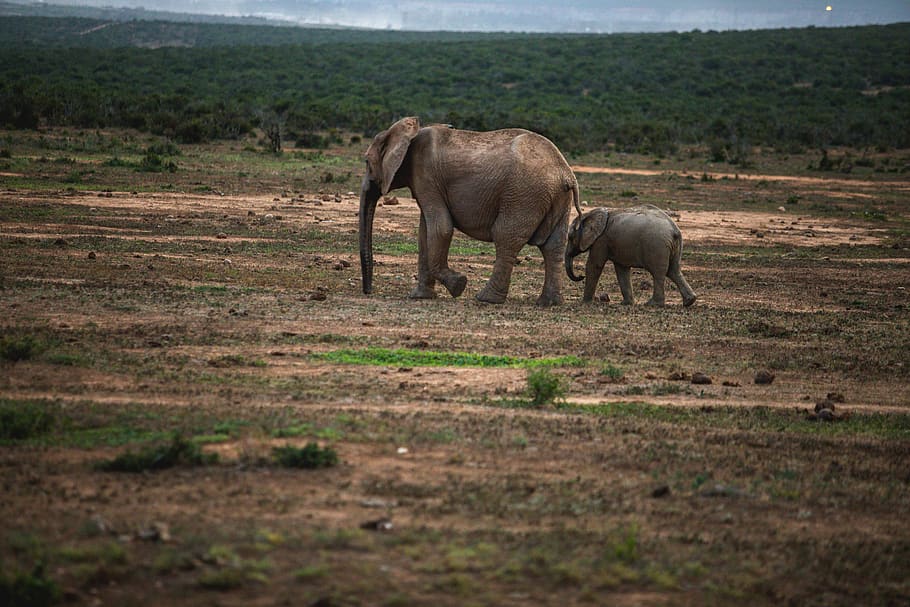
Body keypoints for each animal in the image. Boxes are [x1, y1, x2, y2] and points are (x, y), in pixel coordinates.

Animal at [359, 116, 580, 306]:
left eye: (366, 162)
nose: (368, 292)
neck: (407, 133)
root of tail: (566, 174)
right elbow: (425, 233)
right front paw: (420, 296)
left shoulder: (426, 176)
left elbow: (440, 228)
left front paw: (458, 285)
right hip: (556, 199)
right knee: (553, 246)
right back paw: (548, 302)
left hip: (523, 195)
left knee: (506, 237)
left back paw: (486, 299)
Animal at [565, 204, 697, 307]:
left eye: (570, 238)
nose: (580, 276)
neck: (589, 214)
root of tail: (674, 229)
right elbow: (621, 270)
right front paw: (626, 303)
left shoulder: (601, 240)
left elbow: (594, 265)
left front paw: (585, 302)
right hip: (674, 246)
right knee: (674, 270)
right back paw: (689, 301)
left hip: (657, 246)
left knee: (659, 273)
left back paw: (653, 304)